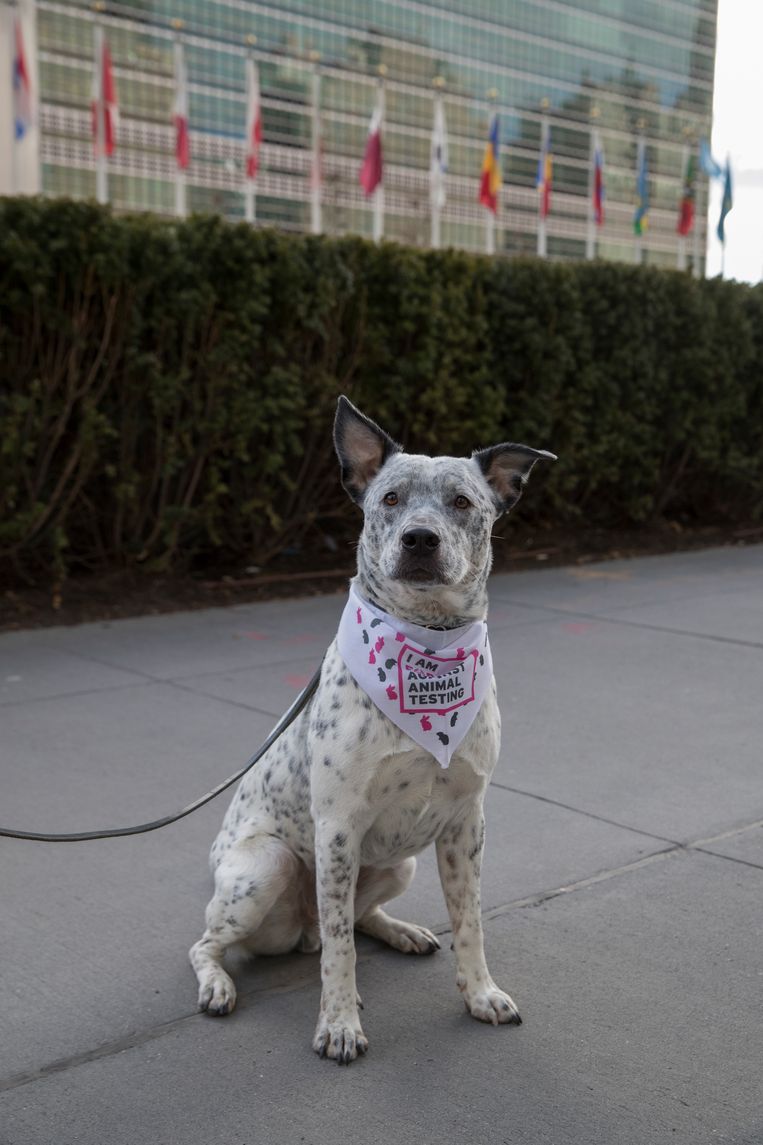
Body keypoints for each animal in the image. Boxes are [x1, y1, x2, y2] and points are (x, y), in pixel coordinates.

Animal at [186, 396, 549, 1062]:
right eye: (390, 498)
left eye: (462, 502)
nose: (419, 538)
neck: (429, 647)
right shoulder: (337, 828)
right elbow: (340, 953)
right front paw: (338, 1023)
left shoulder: (466, 823)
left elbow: (470, 921)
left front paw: (480, 993)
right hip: (268, 866)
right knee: (223, 942)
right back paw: (219, 985)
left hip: (399, 865)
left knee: (354, 921)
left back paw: (402, 931)